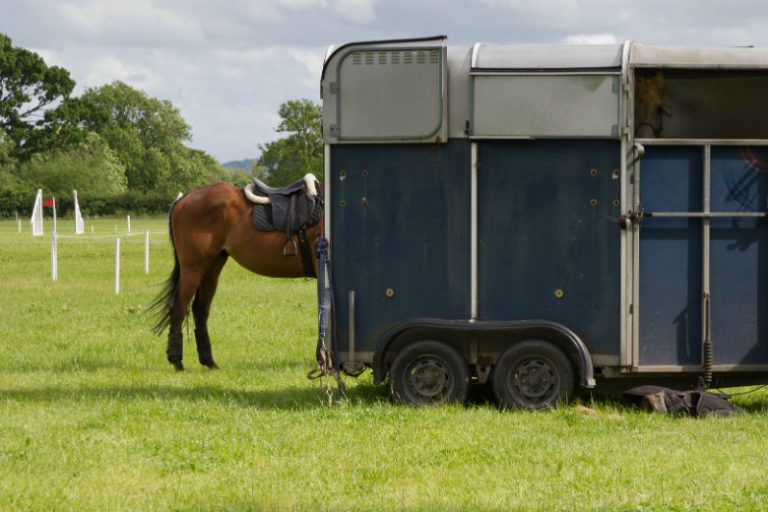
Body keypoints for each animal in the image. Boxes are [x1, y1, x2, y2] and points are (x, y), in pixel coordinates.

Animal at [148, 174, 322, 370]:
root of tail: (184, 199)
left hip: (211, 268)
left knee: (200, 309)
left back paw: (209, 361)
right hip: (193, 268)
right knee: (179, 307)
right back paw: (177, 361)